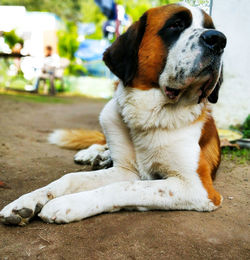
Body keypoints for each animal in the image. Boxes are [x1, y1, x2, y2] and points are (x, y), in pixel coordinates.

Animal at [0, 2, 227, 225]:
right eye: (176, 25)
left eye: (211, 28)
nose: (218, 40)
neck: (149, 115)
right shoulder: (126, 170)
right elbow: (70, 178)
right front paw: (27, 201)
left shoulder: (196, 187)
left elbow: (124, 187)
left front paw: (69, 203)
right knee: (102, 144)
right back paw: (92, 154)